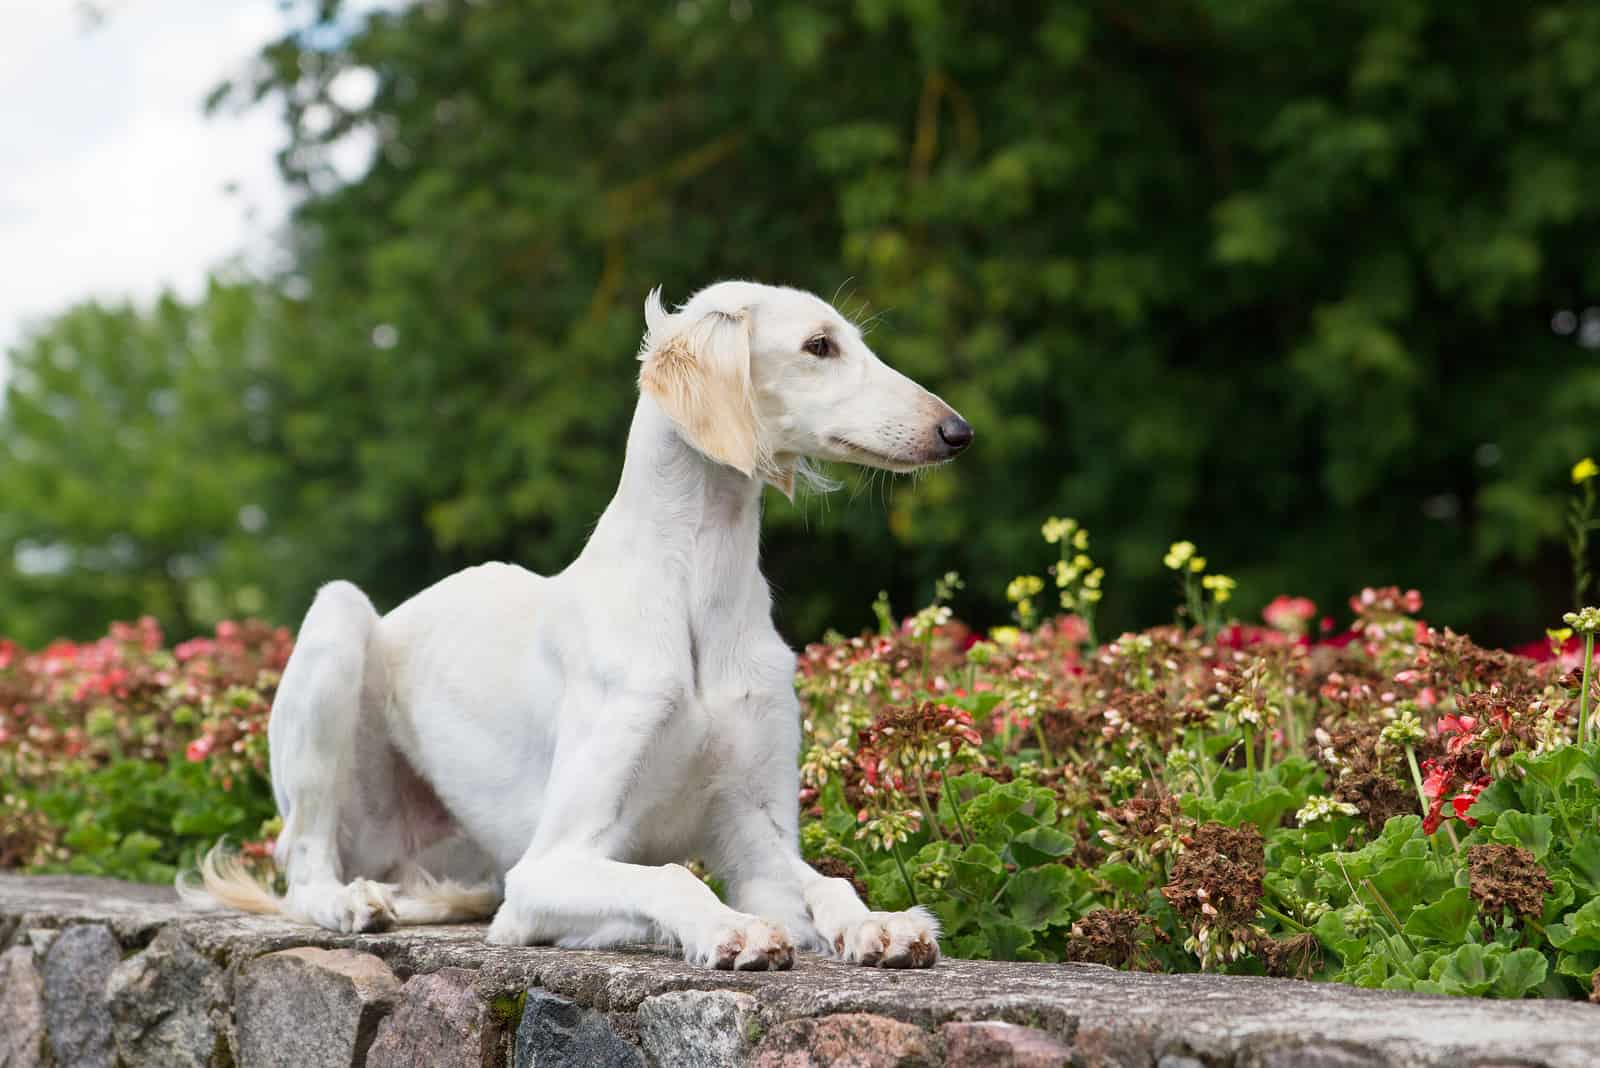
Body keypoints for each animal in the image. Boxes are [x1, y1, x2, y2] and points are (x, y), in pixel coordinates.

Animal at [183, 279, 972, 972]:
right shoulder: (542, 872)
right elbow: (670, 877)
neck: (694, 595)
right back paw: (347, 901)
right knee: (302, 862)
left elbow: (824, 883)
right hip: (339, 627)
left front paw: (881, 925)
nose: (957, 431)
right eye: (818, 345)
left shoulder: (758, 842)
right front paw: (732, 931)